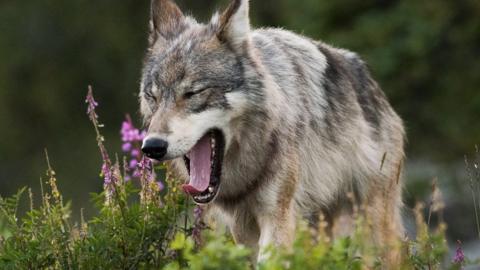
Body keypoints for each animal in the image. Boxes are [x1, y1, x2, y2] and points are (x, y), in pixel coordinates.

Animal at [139, 0, 404, 262]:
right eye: (153, 96)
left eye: (192, 93)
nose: (152, 147)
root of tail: (373, 84)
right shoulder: (242, 226)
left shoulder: (277, 216)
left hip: (372, 227)